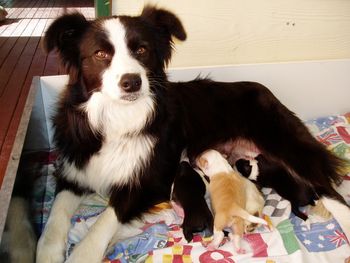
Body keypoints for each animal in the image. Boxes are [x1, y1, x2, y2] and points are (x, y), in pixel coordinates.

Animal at [36, 6, 350, 263]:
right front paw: (48, 252)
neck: (119, 116)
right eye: (100, 54)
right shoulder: (75, 170)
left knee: (327, 187)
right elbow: (55, 216)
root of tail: (264, 89)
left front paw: (82, 254)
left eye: (142, 50)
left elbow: (106, 218)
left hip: (283, 140)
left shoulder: (151, 180)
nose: (132, 82)